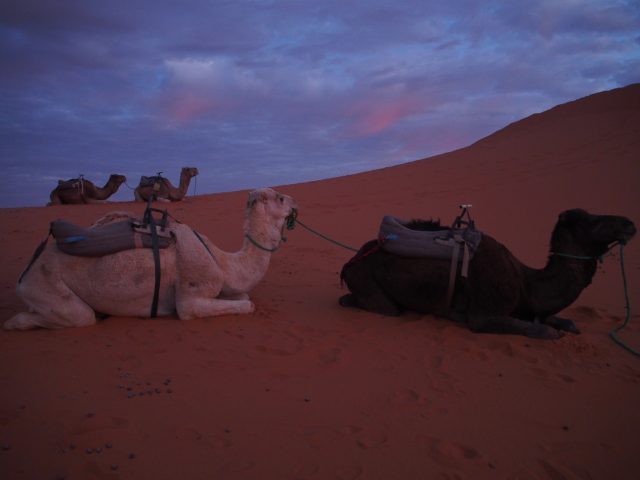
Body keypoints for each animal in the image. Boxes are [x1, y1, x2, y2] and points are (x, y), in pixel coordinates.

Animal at [3, 188, 298, 330]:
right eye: (279, 197)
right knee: (78, 316)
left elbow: (244, 296)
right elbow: (246, 304)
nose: (296, 201)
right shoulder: (190, 298)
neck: (223, 262)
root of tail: (27, 271)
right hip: (45, 286)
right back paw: (15, 323)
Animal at [340, 208, 636, 340]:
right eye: (590, 220)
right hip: (366, 281)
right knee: (384, 307)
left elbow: (564, 322)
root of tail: (353, 258)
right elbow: (543, 331)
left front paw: (565, 324)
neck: (526, 281)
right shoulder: (484, 315)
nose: (629, 223)